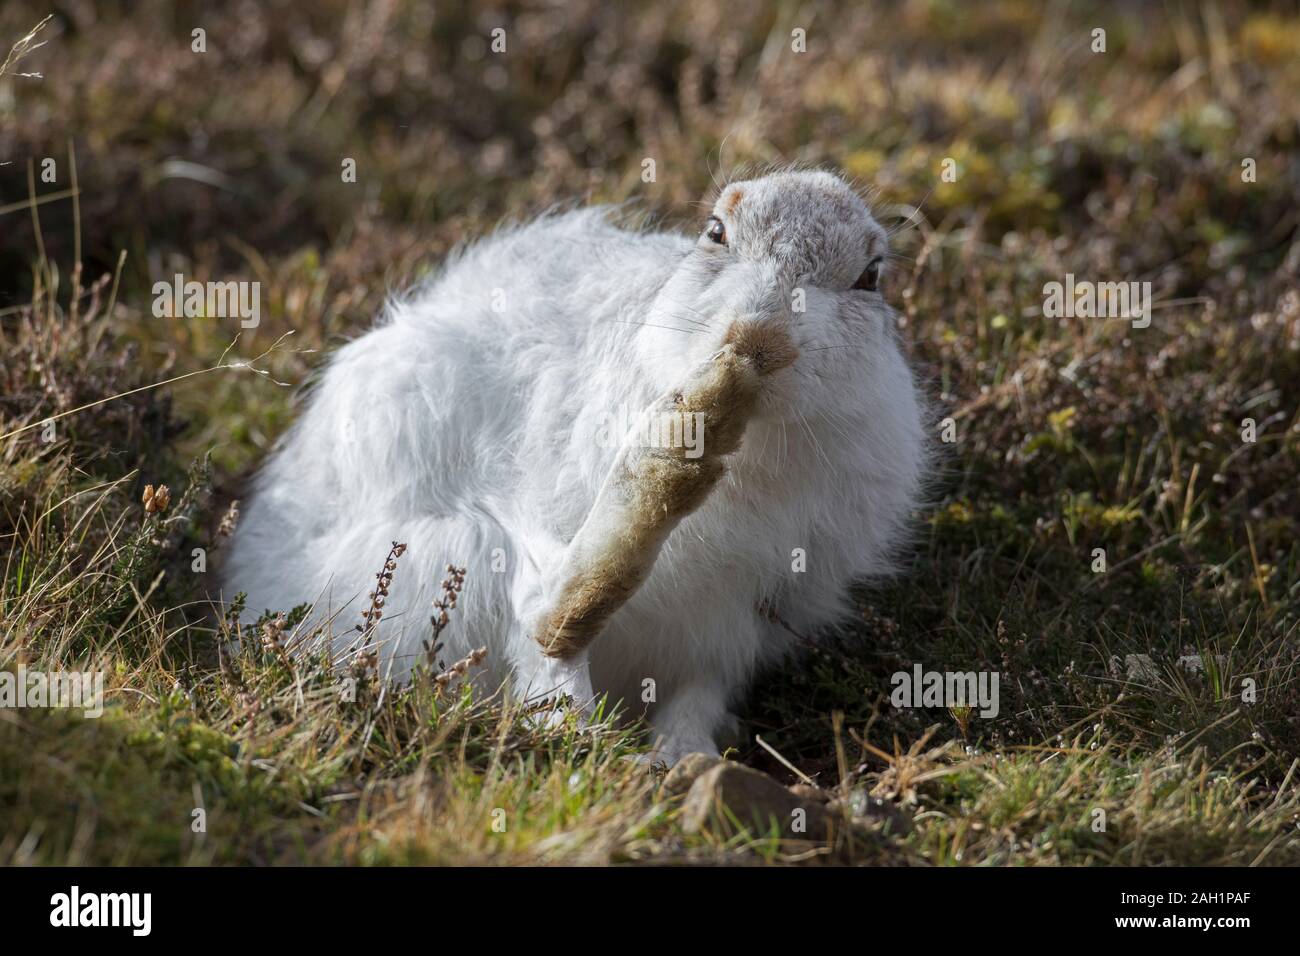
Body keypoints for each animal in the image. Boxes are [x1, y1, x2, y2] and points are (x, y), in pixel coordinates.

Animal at [222, 168, 928, 765]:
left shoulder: (742, 617)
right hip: (442, 554)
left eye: (870, 276)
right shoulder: (532, 527)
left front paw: (682, 757)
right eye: (716, 233)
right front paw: (579, 731)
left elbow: (698, 692)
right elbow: (541, 622)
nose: (760, 340)